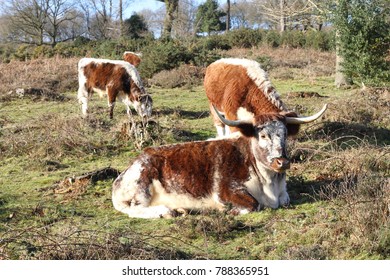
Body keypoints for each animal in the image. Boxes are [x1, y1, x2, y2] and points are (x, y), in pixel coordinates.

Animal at [112, 105, 326, 219]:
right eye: (263, 135)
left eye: (285, 134)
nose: (282, 162)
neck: (269, 182)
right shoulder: (226, 191)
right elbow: (253, 204)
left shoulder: (283, 195)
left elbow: (285, 200)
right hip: (142, 186)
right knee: (132, 208)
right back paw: (165, 210)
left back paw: (180, 209)